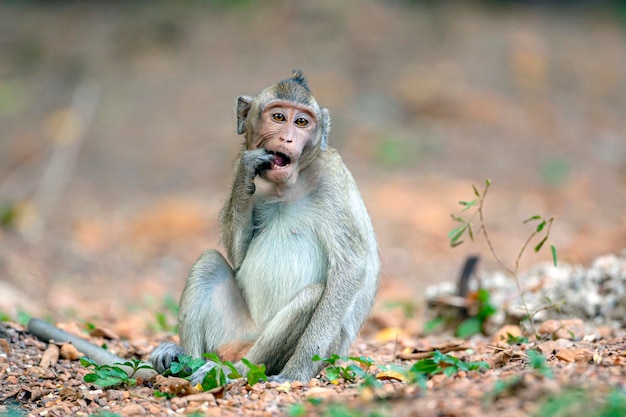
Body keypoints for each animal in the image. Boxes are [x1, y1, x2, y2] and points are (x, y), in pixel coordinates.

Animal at [149, 70, 378, 382]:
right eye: (278, 117)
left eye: (302, 122)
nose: (287, 138)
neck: (288, 184)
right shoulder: (241, 162)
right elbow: (238, 257)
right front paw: (248, 173)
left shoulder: (331, 175)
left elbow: (351, 267)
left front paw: (297, 372)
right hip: (234, 331)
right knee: (208, 263)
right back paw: (186, 363)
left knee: (310, 297)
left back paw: (229, 371)